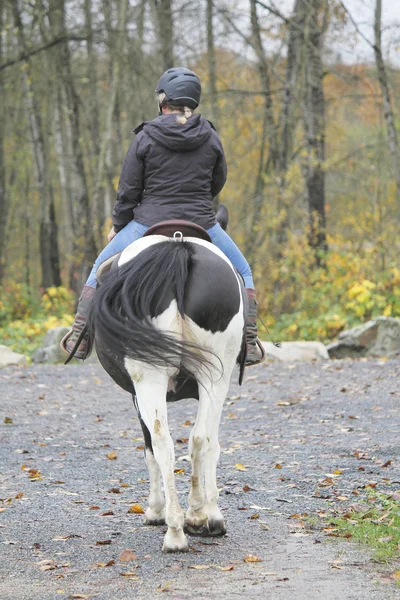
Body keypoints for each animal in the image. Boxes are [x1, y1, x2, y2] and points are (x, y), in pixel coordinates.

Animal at [84, 221, 247, 552]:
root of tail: (177, 248)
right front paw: (204, 514)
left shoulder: (136, 396)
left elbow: (149, 449)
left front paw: (155, 510)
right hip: (215, 376)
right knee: (200, 438)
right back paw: (199, 517)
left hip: (150, 377)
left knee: (163, 444)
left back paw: (175, 529)